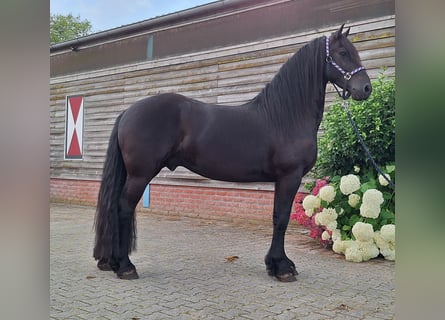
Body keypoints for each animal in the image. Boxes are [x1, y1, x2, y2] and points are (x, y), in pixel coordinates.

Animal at [93, 24, 372, 280]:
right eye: (342, 53)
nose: (366, 88)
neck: (285, 116)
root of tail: (128, 112)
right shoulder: (289, 176)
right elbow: (281, 218)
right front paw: (282, 268)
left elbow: (276, 217)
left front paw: (274, 264)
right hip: (140, 174)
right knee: (123, 208)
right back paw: (125, 266)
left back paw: (113, 262)